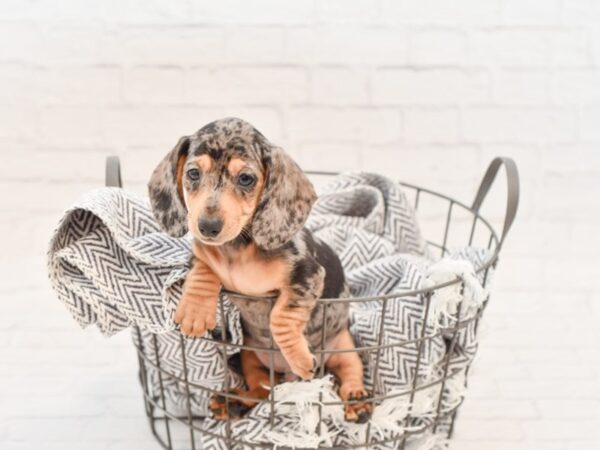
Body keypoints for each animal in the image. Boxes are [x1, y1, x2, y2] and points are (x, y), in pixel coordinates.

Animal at [147, 117, 370, 422]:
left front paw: (299, 357)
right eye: (193, 173)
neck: (237, 251)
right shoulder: (202, 255)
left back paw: (357, 399)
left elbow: (281, 317)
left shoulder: (308, 275)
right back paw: (233, 402)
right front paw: (194, 311)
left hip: (344, 346)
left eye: (246, 178)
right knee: (261, 389)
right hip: (249, 356)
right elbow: (203, 269)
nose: (207, 226)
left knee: (351, 371)